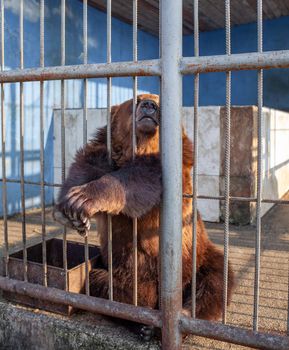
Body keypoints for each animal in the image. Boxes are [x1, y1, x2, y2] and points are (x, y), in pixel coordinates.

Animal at [54, 92, 234, 328]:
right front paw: (70, 212)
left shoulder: (168, 166)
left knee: (215, 280)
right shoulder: (105, 153)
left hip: (198, 255)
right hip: (118, 265)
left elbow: (136, 181)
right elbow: (86, 165)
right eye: (136, 100)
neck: (138, 148)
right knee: (105, 283)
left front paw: (82, 198)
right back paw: (143, 320)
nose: (150, 105)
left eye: (158, 101)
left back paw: (183, 314)